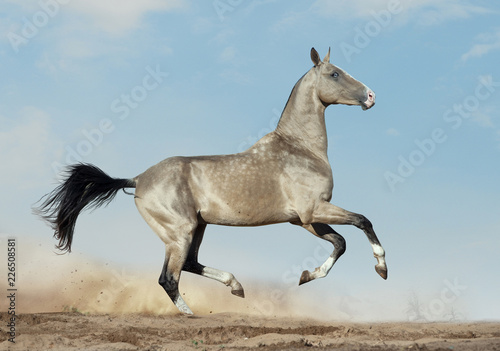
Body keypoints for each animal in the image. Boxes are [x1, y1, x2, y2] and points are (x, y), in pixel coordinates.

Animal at [36, 47, 386, 316]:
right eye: (335, 74)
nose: (371, 96)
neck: (299, 148)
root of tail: (138, 179)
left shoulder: (303, 219)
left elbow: (340, 243)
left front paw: (305, 276)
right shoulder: (314, 210)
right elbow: (363, 221)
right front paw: (382, 268)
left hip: (196, 228)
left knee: (190, 264)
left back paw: (236, 286)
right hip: (180, 232)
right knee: (169, 277)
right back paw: (191, 314)